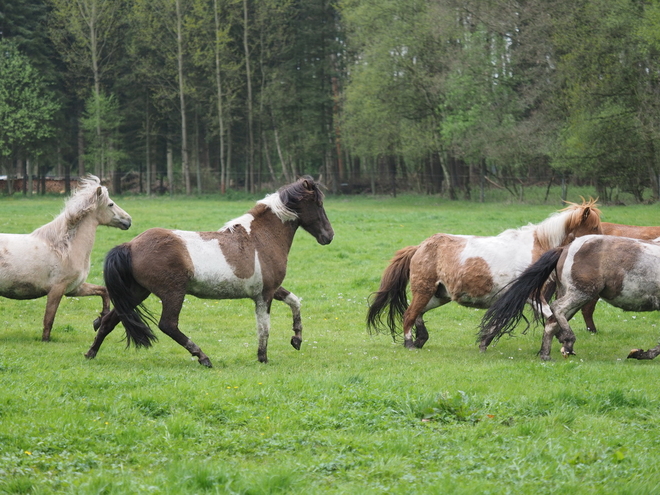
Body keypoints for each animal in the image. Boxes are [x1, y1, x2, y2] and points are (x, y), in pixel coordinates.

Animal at [0, 176, 131, 342]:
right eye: (111, 204)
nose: (128, 220)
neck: (65, 248)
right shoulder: (57, 289)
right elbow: (49, 319)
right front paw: (45, 340)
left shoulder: (74, 288)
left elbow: (103, 291)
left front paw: (99, 320)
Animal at [86, 177, 336, 368]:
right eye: (319, 203)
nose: (329, 236)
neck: (260, 237)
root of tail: (130, 245)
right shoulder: (265, 294)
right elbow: (264, 327)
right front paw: (263, 358)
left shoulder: (271, 289)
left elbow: (295, 302)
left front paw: (297, 339)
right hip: (172, 293)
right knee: (168, 325)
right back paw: (203, 357)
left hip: (136, 292)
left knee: (110, 320)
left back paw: (91, 353)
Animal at [366, 200, 604, 350]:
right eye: (593, 227)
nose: (603, 245)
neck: (536, 247)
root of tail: (420, 247)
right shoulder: (531, 296)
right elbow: (550, 314)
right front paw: (566, 338)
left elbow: (498, 321)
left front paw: (484, 342)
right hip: (424, 290)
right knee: (409, 314)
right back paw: (409, 343)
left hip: (438, 296)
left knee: (417, 313)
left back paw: (420, 339)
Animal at [480, 234, 660, 362]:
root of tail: (565, 248)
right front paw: (642, 354)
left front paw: (641, 353)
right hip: (581, 294)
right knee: (557, 308)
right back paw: (568, 341)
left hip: (577, 296)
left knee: (552, 320)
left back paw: (546, 355)